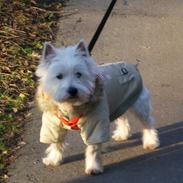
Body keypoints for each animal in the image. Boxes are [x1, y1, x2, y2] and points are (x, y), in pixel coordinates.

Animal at [35, 39, 159, 174]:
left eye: (79, 74)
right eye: (59, 76)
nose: (72, 90)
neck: (71, 107)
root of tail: (131, 66)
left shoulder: (95, 125)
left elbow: (92, 149)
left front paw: (93, 167)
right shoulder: (53, 125)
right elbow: (55, 142)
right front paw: (53, 159)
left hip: (139, 103)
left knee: (147, 122)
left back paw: (150, 141)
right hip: (118, 103)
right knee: (122, 118)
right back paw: (122, 134)